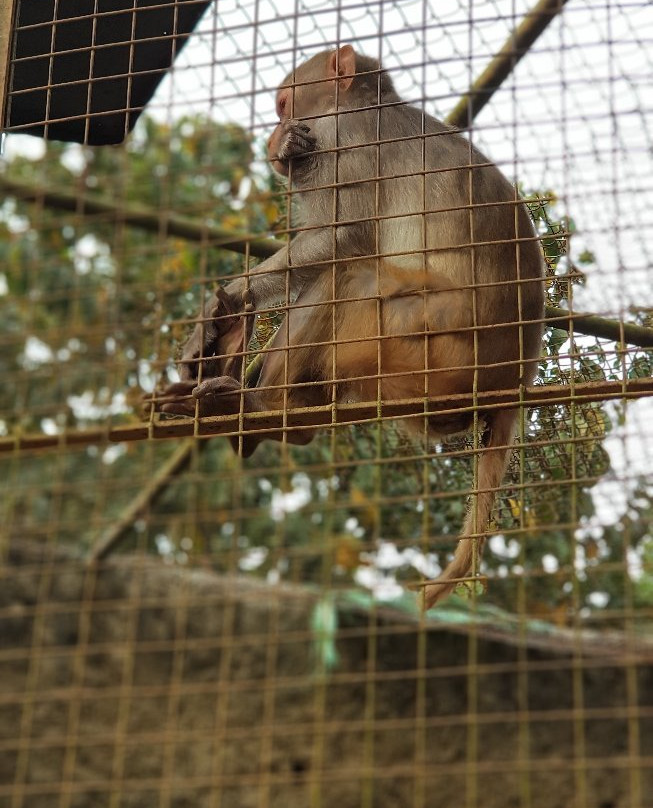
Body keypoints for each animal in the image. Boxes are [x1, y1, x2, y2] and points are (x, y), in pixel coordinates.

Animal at [154, 41, 544, 604]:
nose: (273, 135)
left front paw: (226, 301)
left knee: (351, 275)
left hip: (425, 348)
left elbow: (345, 239)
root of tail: (512, 380)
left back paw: (266, 409)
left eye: (282, 106)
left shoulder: (348, 148)